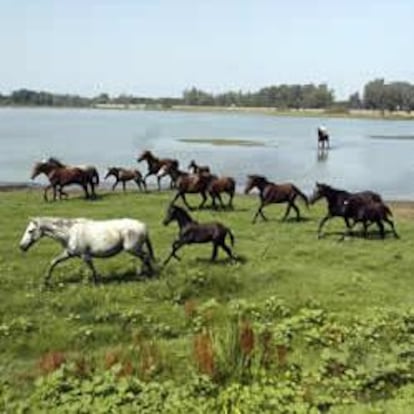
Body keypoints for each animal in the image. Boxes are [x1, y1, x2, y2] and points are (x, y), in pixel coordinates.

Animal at [19, 217, 155, 284]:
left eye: (30, 231)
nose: (22, 246)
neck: (70, 233)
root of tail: (143, 226)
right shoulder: (68, 253)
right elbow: (53, 262)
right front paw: (46, 280)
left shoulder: (85, 255)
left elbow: (91, 268)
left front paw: (96, 282)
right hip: (135, 249)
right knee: (146, 258)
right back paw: (149, 274)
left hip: (132, 249)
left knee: (146, 257)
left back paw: (141, 275)